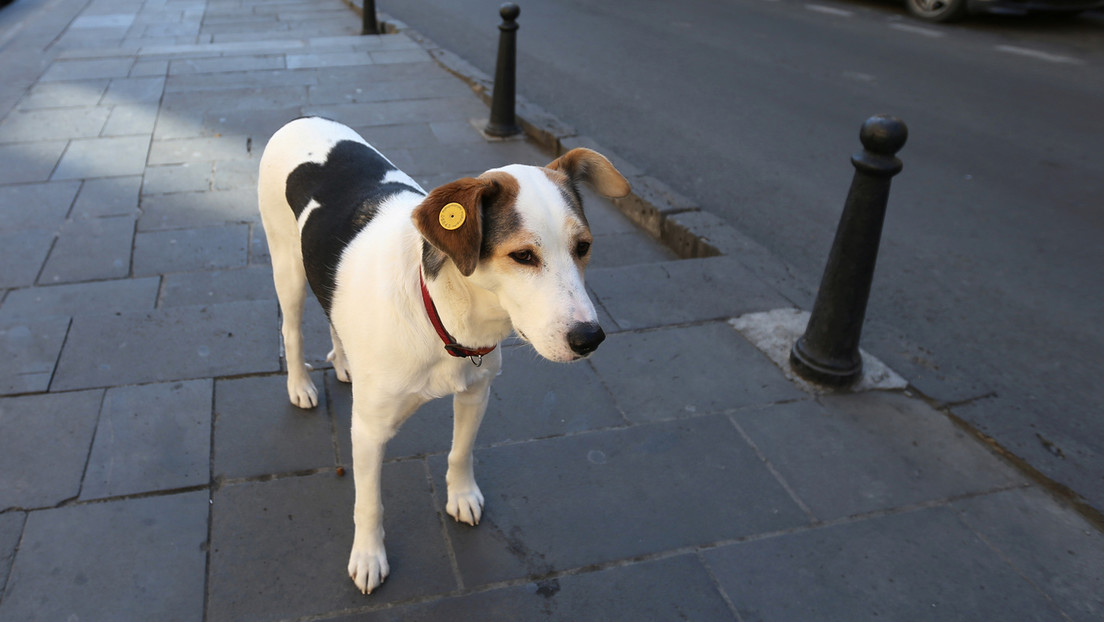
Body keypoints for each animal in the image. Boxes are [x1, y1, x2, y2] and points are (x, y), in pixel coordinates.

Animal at [253, 117, 627, 592]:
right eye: (523, 255)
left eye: (583, 247)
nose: (589, 338)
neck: (443, 311)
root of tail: (301, 119)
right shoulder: (368, 431)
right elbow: (369, 503)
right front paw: (369, 555)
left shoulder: (476, 392)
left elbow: (460, 452)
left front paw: (461, 495)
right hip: (288, 267)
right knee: (292, 329)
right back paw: (300, 385)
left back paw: (344, 361)